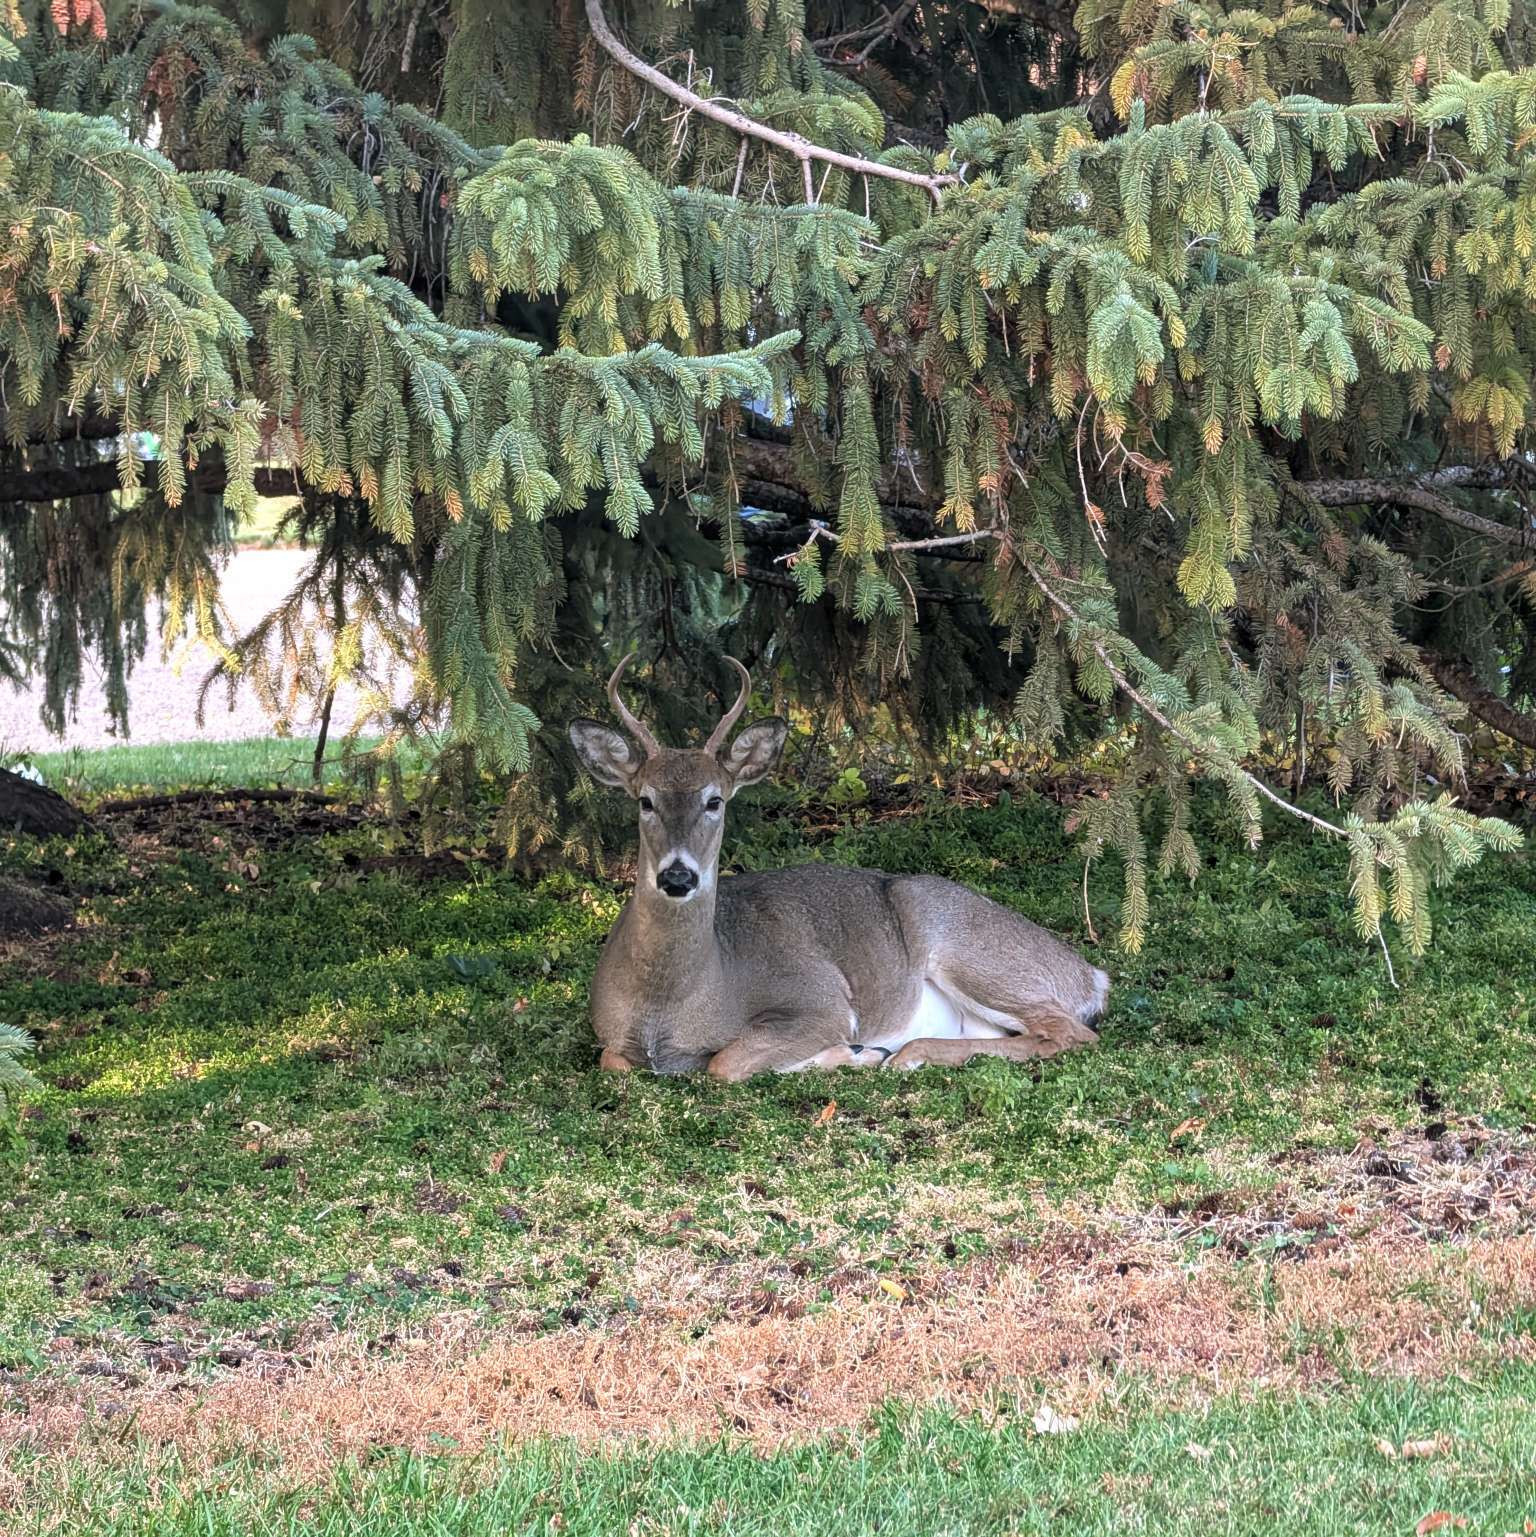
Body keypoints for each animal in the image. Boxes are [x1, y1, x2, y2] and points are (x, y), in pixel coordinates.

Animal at [571, 651, 1113, 1082]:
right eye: (645, 800)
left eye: (715, 801)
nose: (678, 876)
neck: (669, 1007)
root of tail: (1090, 976)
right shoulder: (612, 1042)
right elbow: (613, 1062)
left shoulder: (820, 998)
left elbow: (724, 1062)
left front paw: (854, 1053)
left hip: (973, 952)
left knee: (1069, 1032)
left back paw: (904, 1054)